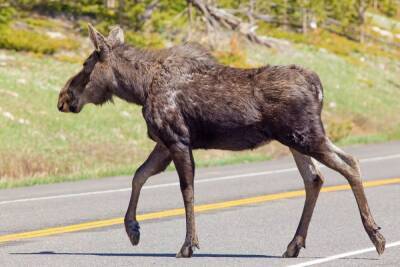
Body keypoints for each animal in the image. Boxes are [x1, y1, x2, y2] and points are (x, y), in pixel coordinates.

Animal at [57, 24, 386, 258]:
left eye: (86, 64)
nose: (63, 97)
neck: (138, 88)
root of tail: (318, 86)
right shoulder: (163, 142)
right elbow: (139, 175)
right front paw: (132, 229)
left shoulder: (178, 139)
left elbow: (186, 191)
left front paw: (188, 245)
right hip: (300, 139)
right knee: (320, 176)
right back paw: (294, 244)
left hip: (306, 136)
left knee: (347, 166)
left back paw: (376, 236)